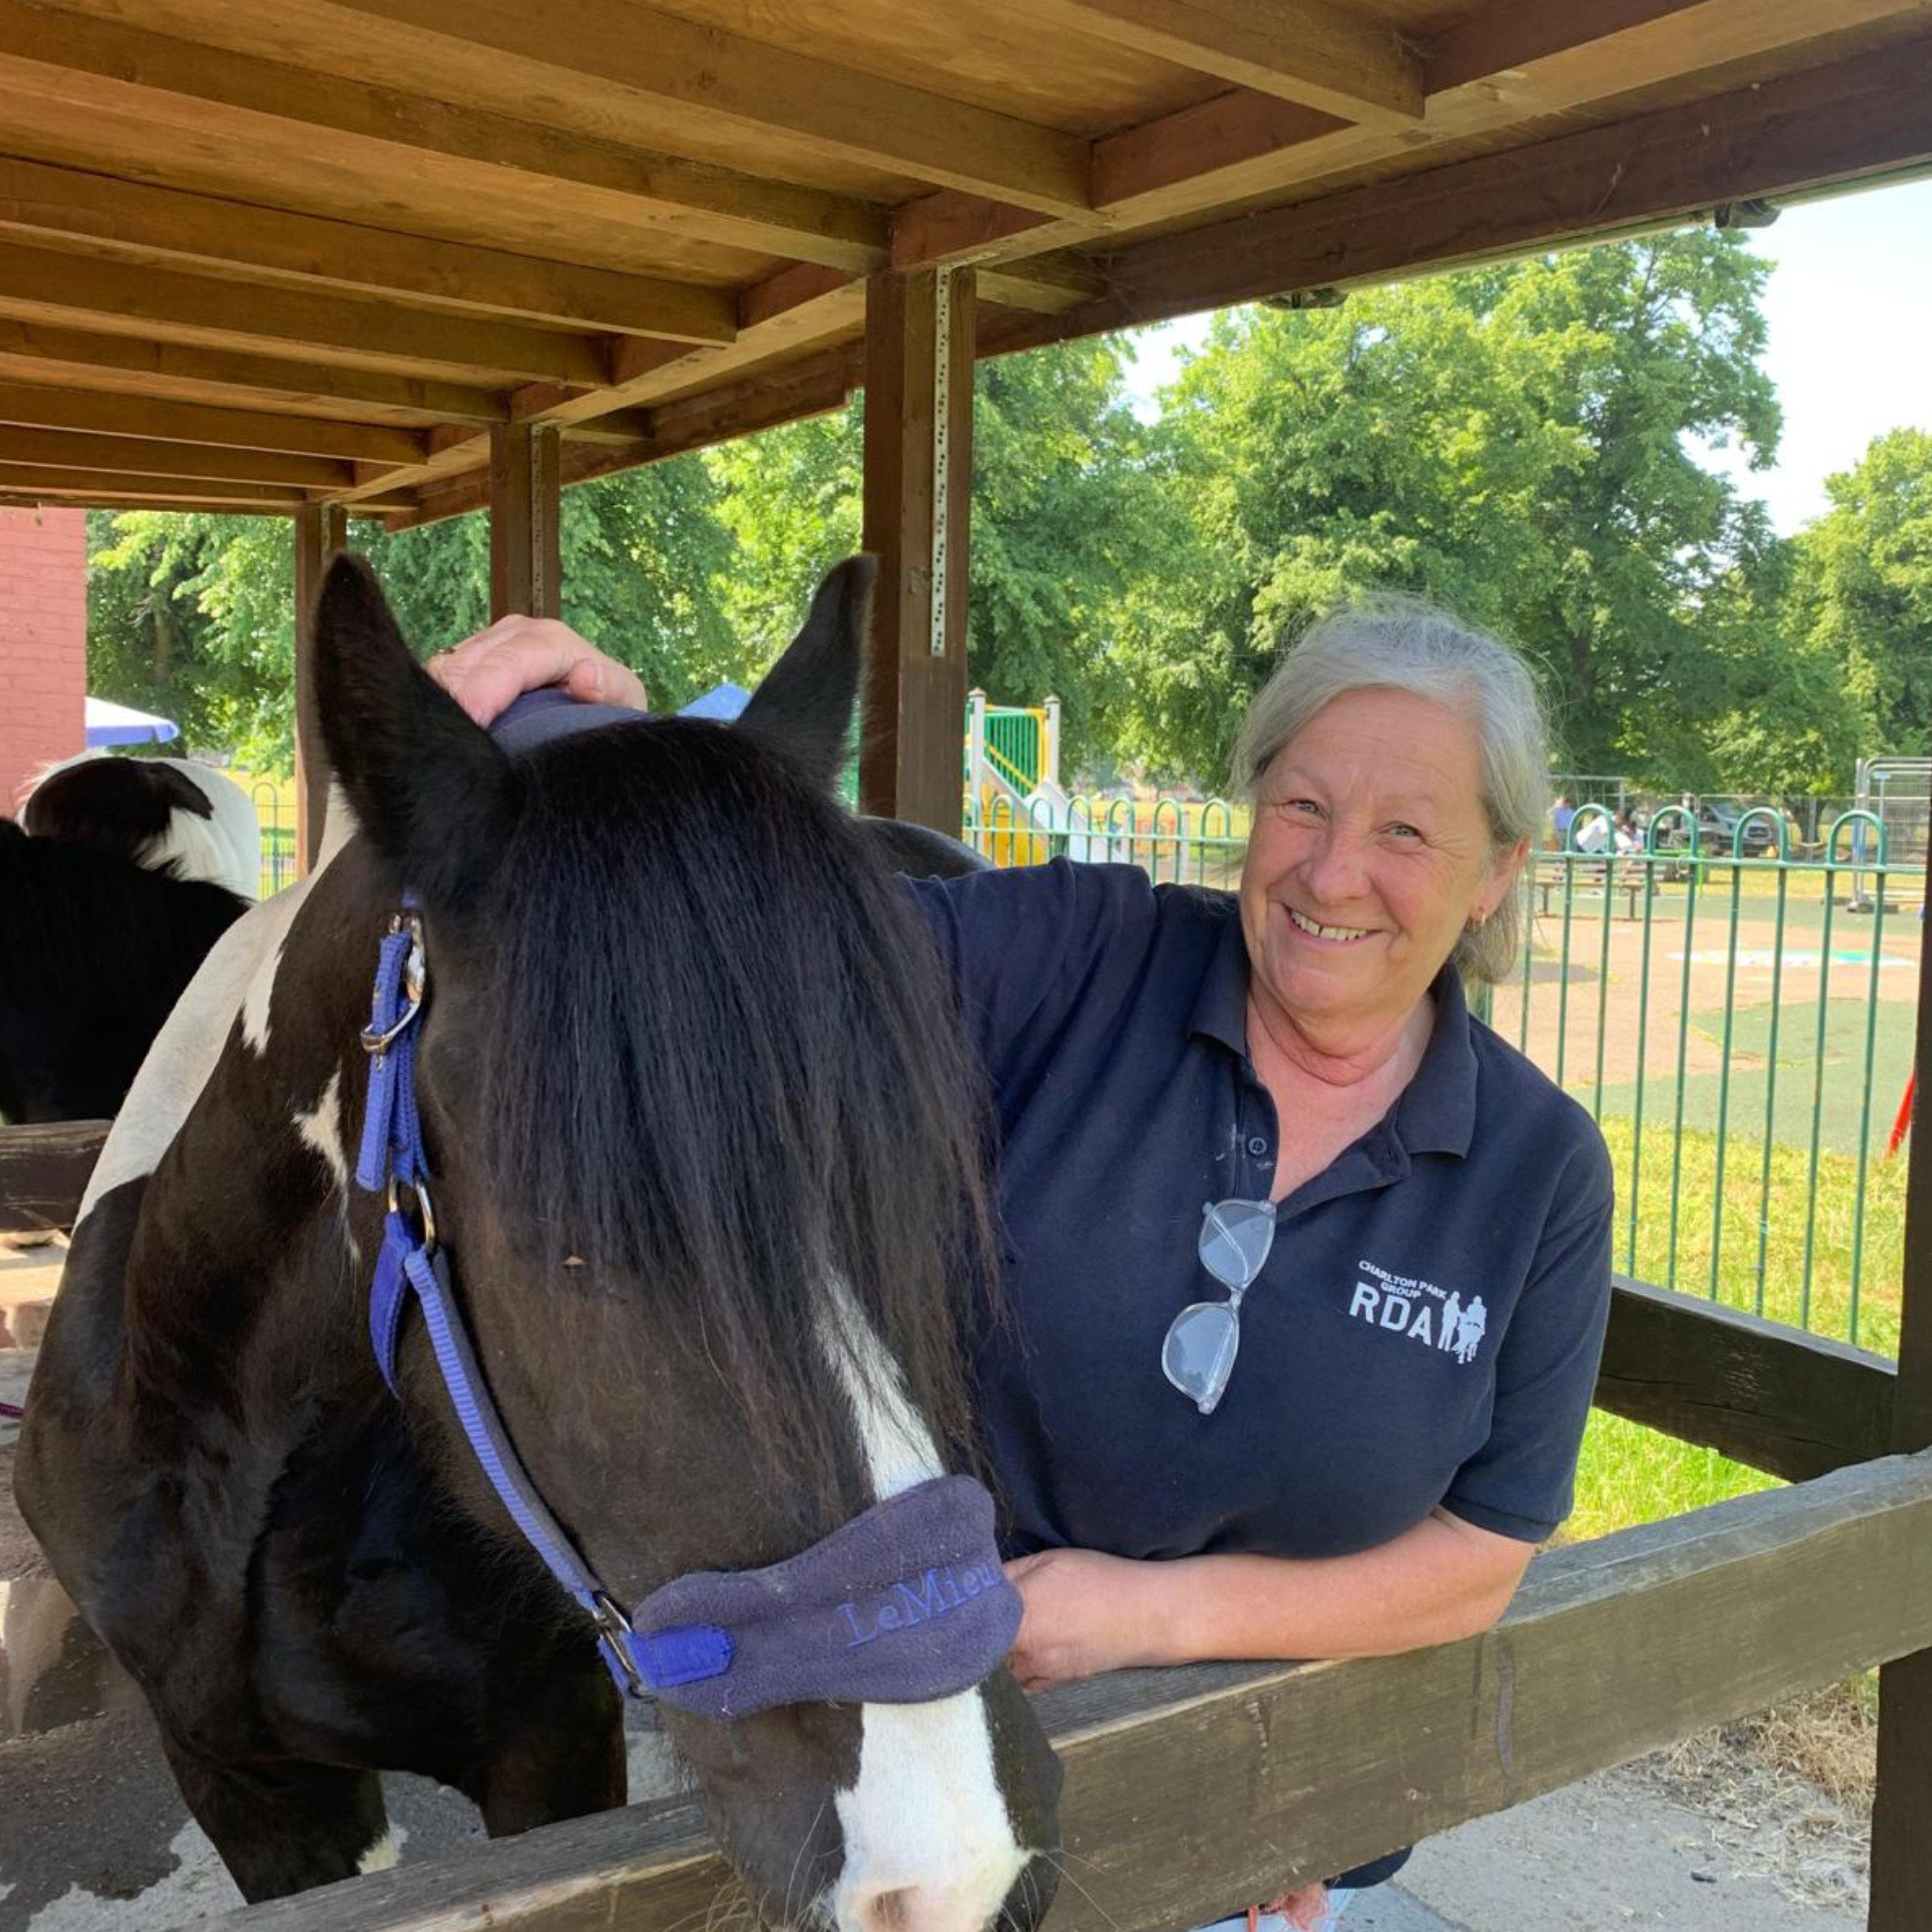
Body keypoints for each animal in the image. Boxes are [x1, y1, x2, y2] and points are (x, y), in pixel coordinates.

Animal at [16, 554, 1062, 1931]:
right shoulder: (247, 1788)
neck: (238, 1464)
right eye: (570, 1246)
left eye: (923, 1186)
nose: (952, 1869)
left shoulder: (550, 1749)